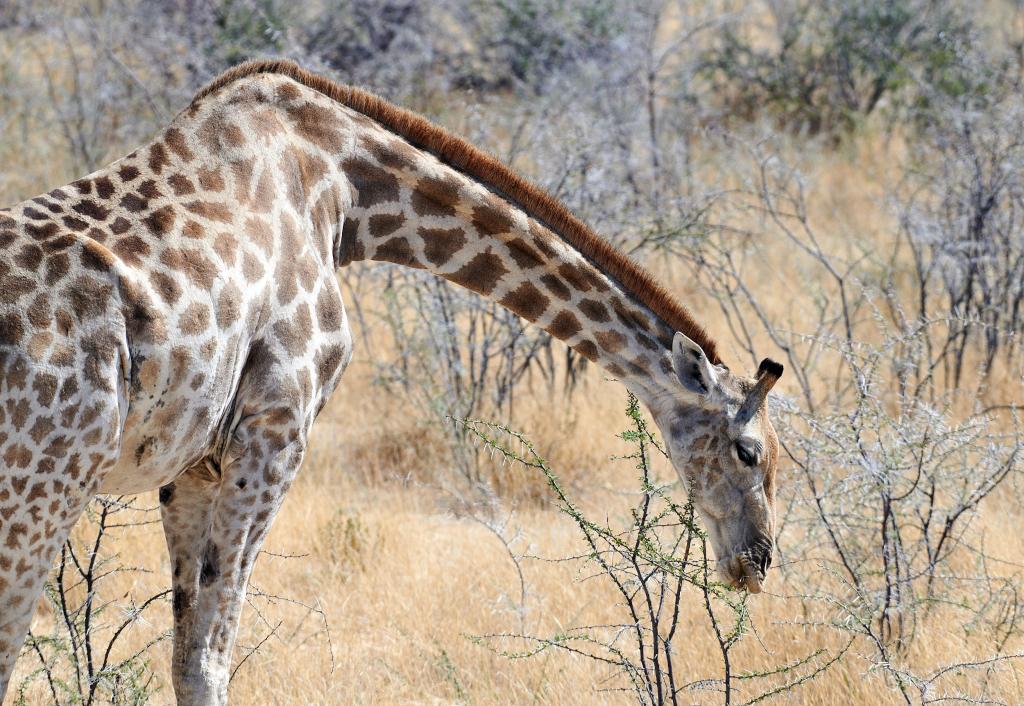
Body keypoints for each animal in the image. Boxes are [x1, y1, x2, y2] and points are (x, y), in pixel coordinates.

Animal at [2, 61, 782, 704]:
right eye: (751, 452)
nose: (757, 564)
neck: (346, 192)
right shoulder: (276, 429)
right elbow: (211, 660)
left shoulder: (194, 462)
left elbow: (185, 656)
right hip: (45, 488)